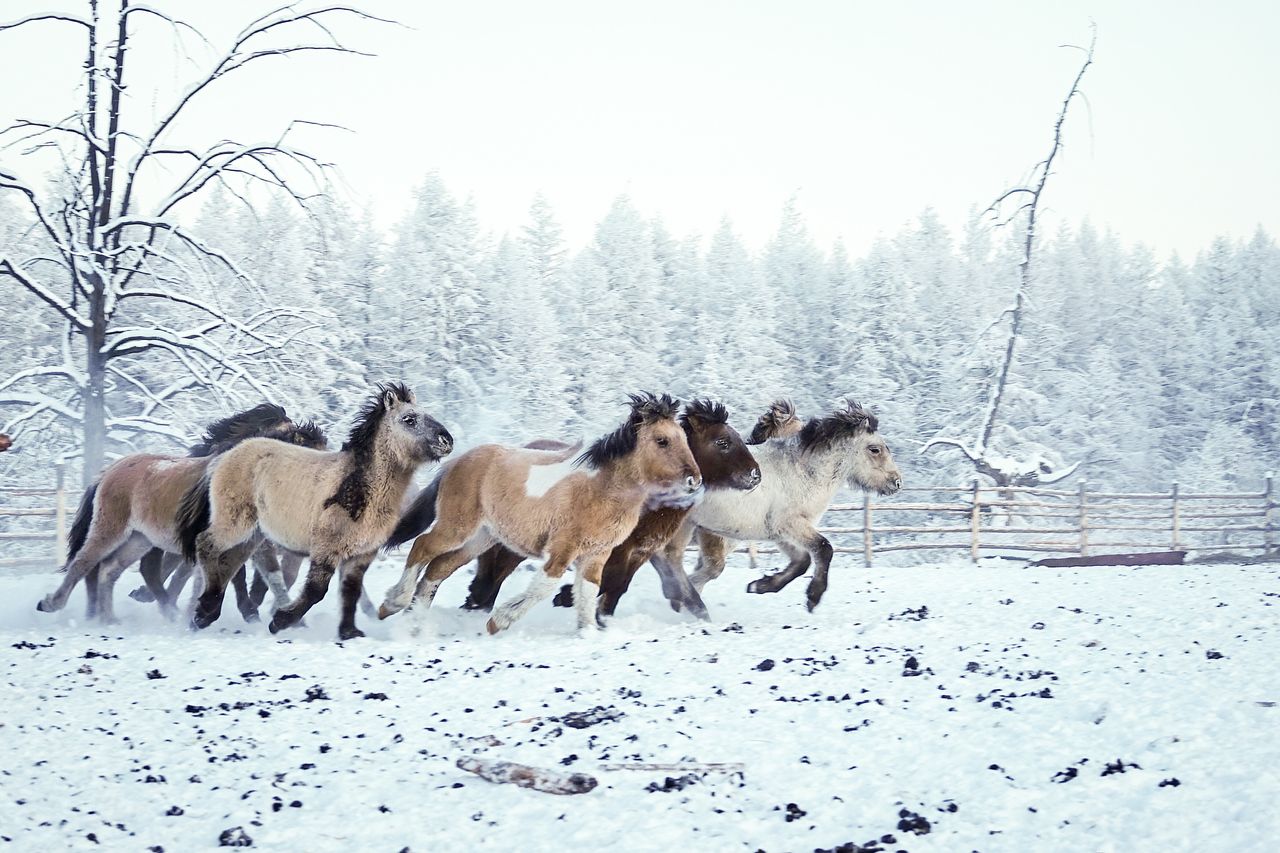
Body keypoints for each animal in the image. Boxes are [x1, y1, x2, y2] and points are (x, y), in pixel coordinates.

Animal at [180, 379, 450, 637]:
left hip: (253, 534)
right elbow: (316, 591)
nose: (447, 440)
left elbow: (350, 591)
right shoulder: (326, 548)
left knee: (229, 561)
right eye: (409, 419)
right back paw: (204, 612)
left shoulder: (361, 554)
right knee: (206, 545)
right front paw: (280, 621)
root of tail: (225, 455)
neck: (358, 487)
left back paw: (204, 613)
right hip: (235, 523)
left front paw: (349, 632)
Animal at [465, 394, 762, 622]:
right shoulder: (619, 550)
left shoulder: (640, 552)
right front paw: (566, 598)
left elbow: (619, 585)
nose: (755, 475)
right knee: (493, 574)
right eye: (723, 442)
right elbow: (610, 582)